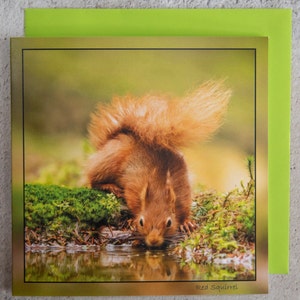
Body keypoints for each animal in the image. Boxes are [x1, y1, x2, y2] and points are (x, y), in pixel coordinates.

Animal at [85, 81, 231, 248]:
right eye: (142, 222)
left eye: (169, 222)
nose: (153, 241)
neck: (159, 186)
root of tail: (116, 138)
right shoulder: (134, 187)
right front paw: (131, 220)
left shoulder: (182, 188)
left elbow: (185, 206)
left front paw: (186, 222)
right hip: (108, 160)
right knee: (92, 179)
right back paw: (110, 186)